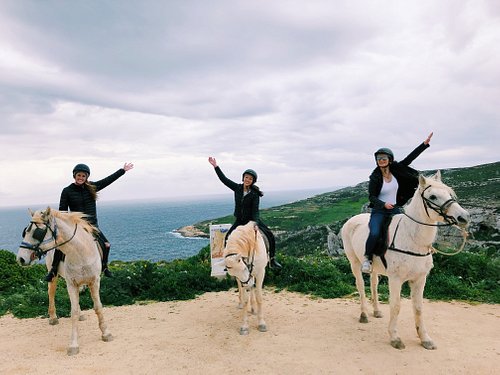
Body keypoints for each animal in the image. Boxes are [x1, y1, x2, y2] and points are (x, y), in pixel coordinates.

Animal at [16, 207, 113, 356]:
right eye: (25, 231)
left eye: (37, 232)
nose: (20, 258)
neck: (80, 252)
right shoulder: (71, 283)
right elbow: (73, 312)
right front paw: (73, 344)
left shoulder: (95, 282)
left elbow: (98, 307)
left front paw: (106, 333)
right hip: (54, 276)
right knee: (51, 293)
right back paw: (53, 317)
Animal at [342, 172, 470, 352]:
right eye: (433, 196)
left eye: (450, 194)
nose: (464, 217)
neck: (412, 238)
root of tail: (350, 221)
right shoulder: (396, 279)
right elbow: (396, 306)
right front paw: (395, 337)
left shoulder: (420, 279)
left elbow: (418, 308)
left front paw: (425, 339)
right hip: (354, 263)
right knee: (360, 286)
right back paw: (364, 314)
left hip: (375, 269)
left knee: (373, 285)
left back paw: (376, 311)